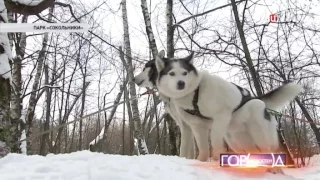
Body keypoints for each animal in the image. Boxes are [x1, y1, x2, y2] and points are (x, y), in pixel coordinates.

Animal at [154, 50, 302, 164]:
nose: (181, 83)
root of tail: (257, 99)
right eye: (172, 73)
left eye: (184, 73)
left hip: (259, 129)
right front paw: (201, 161)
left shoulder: (222, 115)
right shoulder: (197, 126)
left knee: (268, 151)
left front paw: (216, 157)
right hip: (236, 141)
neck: (195, 94)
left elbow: (214, 140)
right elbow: (203, 148)